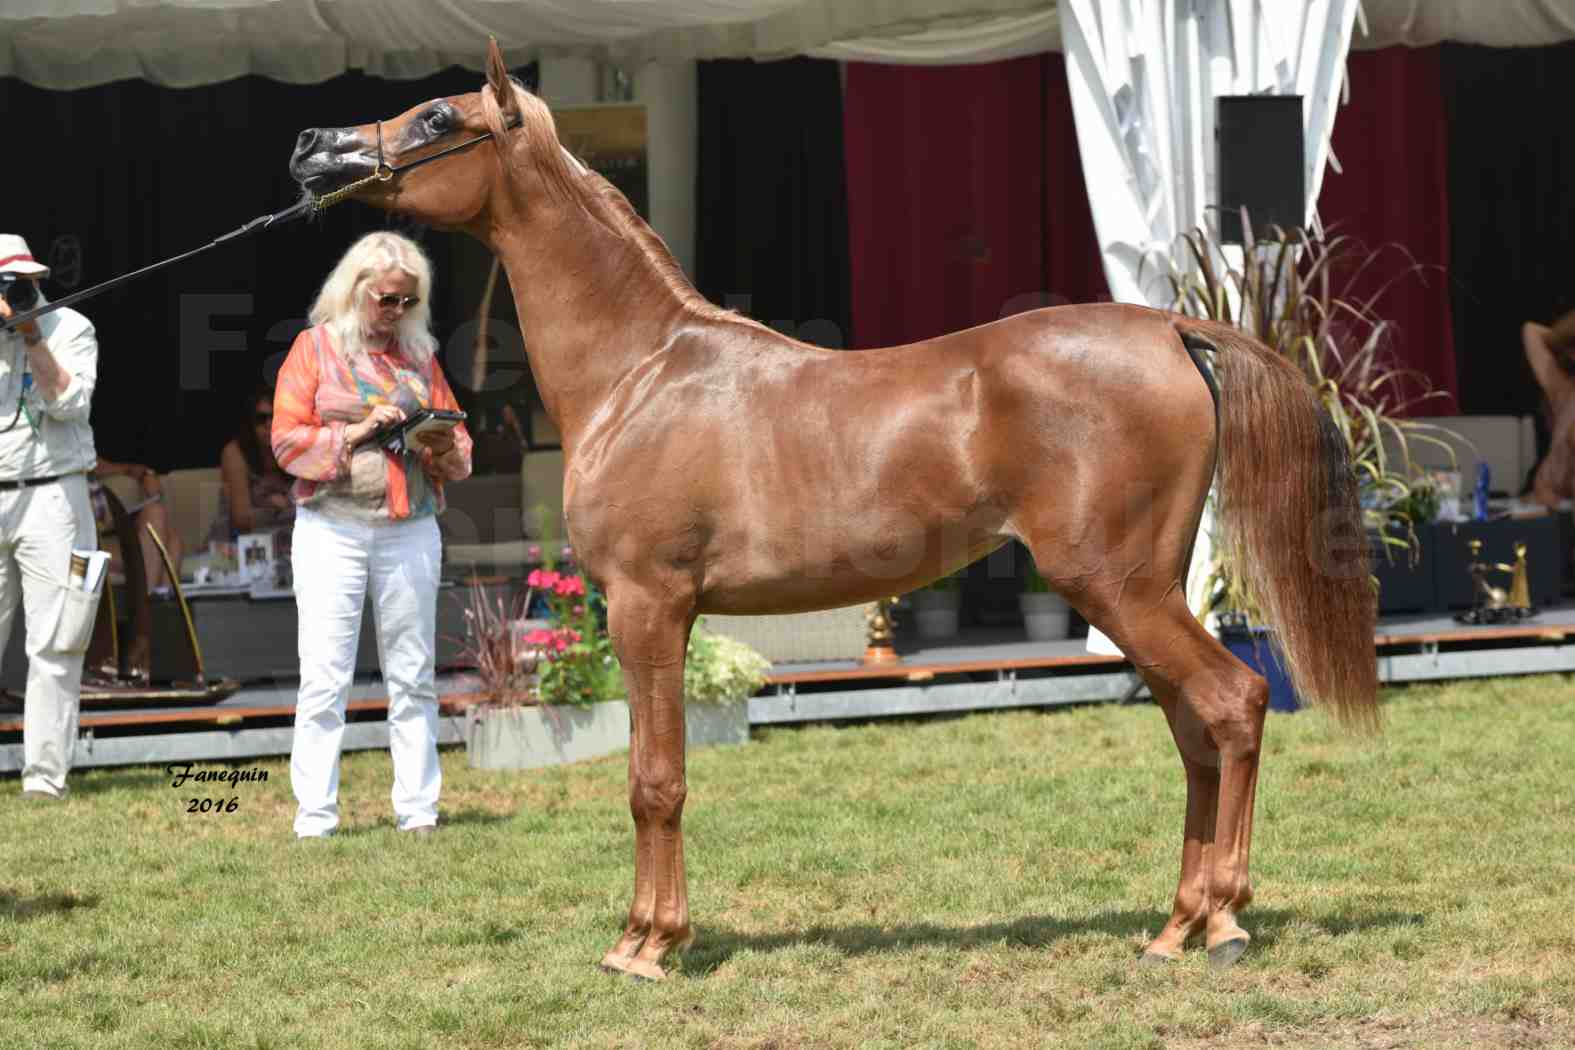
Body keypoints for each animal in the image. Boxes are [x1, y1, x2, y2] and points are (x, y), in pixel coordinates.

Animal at [289, 38, 1373, 976]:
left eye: (439, 116)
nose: (312, 149)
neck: (642, 371)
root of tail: (1170, 327)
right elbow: (653, 773)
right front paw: (653, 934)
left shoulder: (648, 606)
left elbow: (654, 782)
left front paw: (646, 945)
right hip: (1146, 590)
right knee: (1195, 733)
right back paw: (1177, 926)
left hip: (1119, 587)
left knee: (1233, 703)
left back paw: (1224, 921)